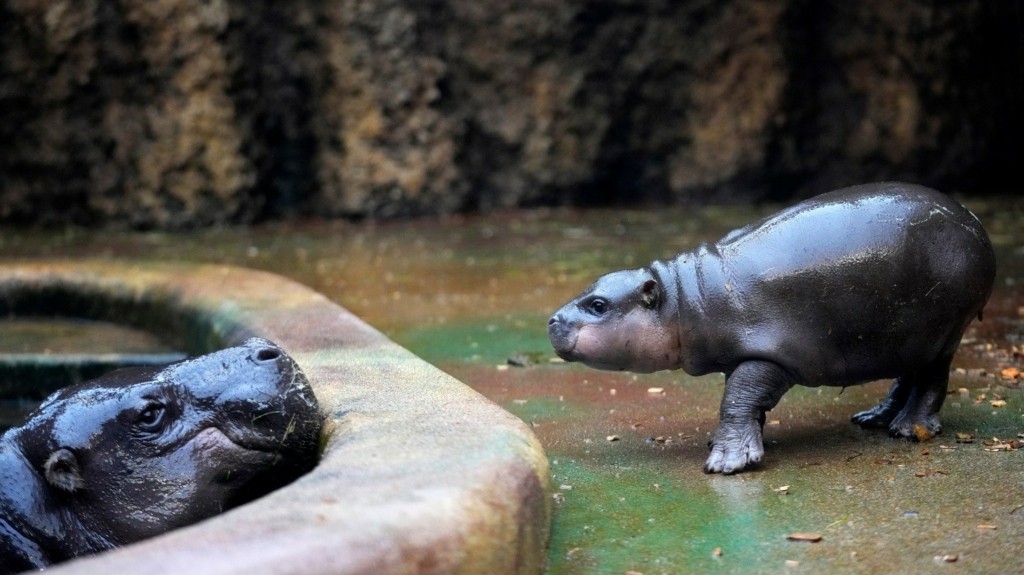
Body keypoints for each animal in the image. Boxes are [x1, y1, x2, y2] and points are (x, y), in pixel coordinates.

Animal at [548, 183, 995, 474]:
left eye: (598, 305)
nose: (552, 320)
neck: (682, 298)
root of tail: (973, 220)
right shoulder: (739, 356)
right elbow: (745, 403)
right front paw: (733, 443)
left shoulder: (769, 355)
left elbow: (736, 399)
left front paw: (725, 462)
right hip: (903, 334)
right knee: (906, 375)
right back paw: (872, 418)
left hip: (943, 328)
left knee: (932, 379)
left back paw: (907, 430)